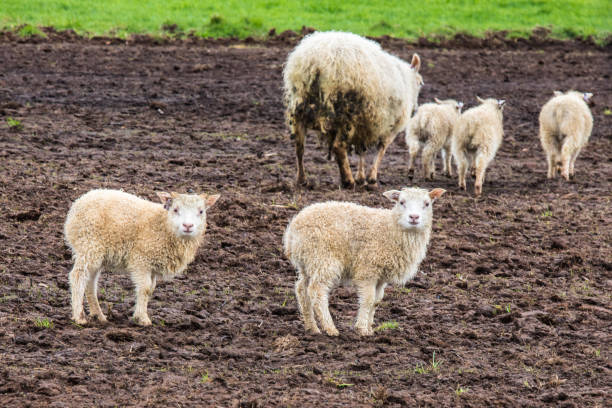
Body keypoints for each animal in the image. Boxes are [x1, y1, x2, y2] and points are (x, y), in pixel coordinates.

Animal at [64, 190, 220, 326]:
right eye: (175, 209)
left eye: (201, 211)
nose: (188, 225)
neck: (163, 225)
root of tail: (79, 202)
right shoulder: (141, 260)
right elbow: (144, 288)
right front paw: (142, 319)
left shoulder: (153, 265)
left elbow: (150, 289)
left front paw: (140, 314)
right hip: (88, 244)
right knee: (78, 276)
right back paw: (79, 316)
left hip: (96, 253)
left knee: (90, 282)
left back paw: (98, 315)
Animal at [282, 186, 444, 336]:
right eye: (401, 202)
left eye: (427, 204)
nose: (414, 217)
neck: (391, 228)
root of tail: (292, 230)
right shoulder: (368, 269)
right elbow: (368, 299)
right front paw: (361, 329)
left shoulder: (381, 276)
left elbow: (376, 301)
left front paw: (370, 328)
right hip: (324, 258)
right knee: (317, 291)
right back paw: (330, 328)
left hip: (308, 262)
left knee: (301, 289)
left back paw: (312, 327)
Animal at [284, 31, 424, 189]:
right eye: (420, 83)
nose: (415, 109)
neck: (407, 82)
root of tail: (315, 61)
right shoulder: (390, 127)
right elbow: (381, 150)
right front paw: (371, 178)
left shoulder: (366, 124)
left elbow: (361, 151)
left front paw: (361, 178)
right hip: (347, 114)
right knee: (338, 147)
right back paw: (348, 181)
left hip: (299, 107)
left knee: (299, 146)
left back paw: (302, 179)